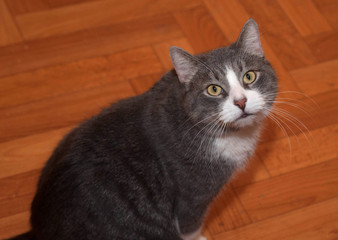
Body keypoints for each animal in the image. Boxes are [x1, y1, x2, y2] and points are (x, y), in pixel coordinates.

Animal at [8, 18, 278, 240]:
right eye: (213, 89)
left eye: (249, 76)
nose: (241, 102)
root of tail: (37, 229)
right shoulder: (192, 194)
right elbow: (190, 227)